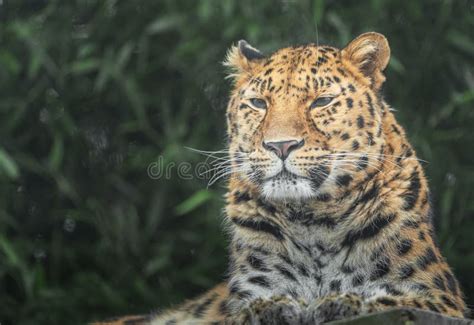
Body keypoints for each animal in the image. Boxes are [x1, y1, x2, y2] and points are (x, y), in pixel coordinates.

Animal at [94, 31, 468, 322]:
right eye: (259, 103)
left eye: (322, 101)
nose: (281, 145)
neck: (315, 220)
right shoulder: (249, 294)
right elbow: (250, 308)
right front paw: (272, 309)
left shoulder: (438, 297)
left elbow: (385, 298)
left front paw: (339, 302)